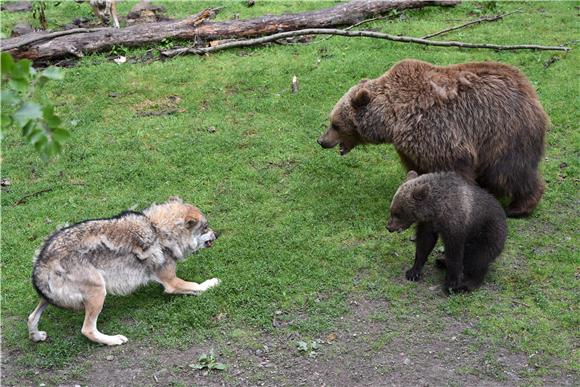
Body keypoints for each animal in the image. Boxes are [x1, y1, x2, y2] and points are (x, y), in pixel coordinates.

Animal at [318, 60, 548, 218]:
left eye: (335, 124)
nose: (321, 141)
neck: (393, 120)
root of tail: (530, 91)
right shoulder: (410, 146)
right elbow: (418, 168)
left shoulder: (435, 130)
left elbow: (452, 167)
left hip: (502, 131)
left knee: (508, 170)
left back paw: (519, 206)